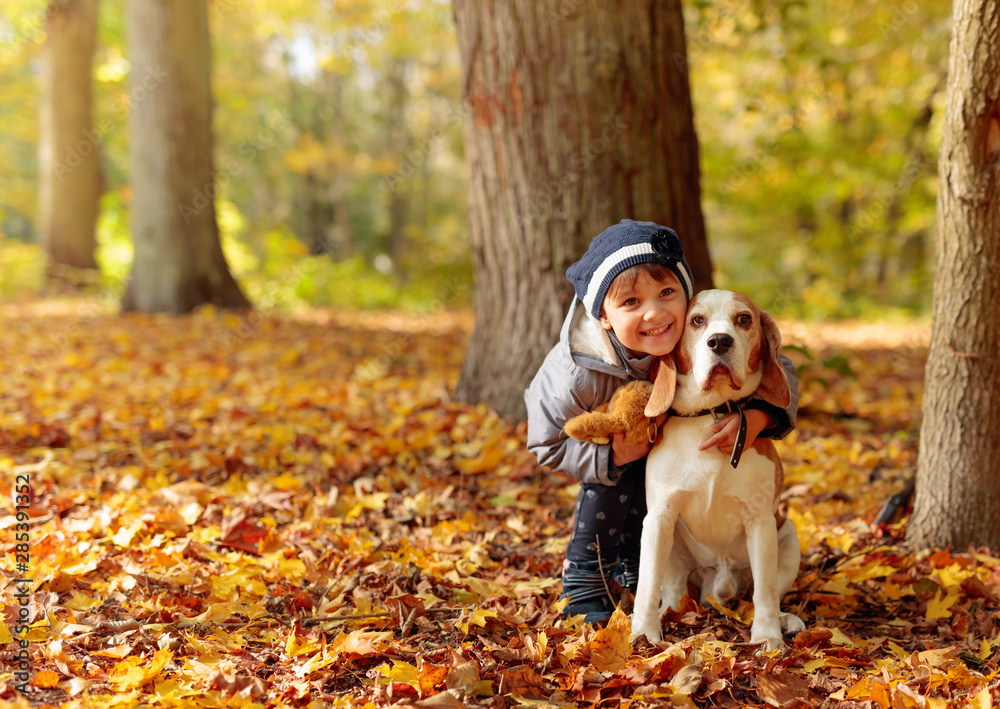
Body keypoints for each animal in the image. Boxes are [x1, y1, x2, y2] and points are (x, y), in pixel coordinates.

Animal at [632, 288, 804, 648]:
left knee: (767, 591)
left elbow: (766, 591)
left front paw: (767, 637)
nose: (720, 341)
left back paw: (785, 619)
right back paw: (670, 610)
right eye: (697, 320)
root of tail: (720, 585)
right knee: (673, 589)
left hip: (788, 534)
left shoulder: (761, 522)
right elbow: (646, 586)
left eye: (744, 319)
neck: (711, 414)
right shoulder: (658, 518)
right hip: (670, 539)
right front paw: (643, 634)